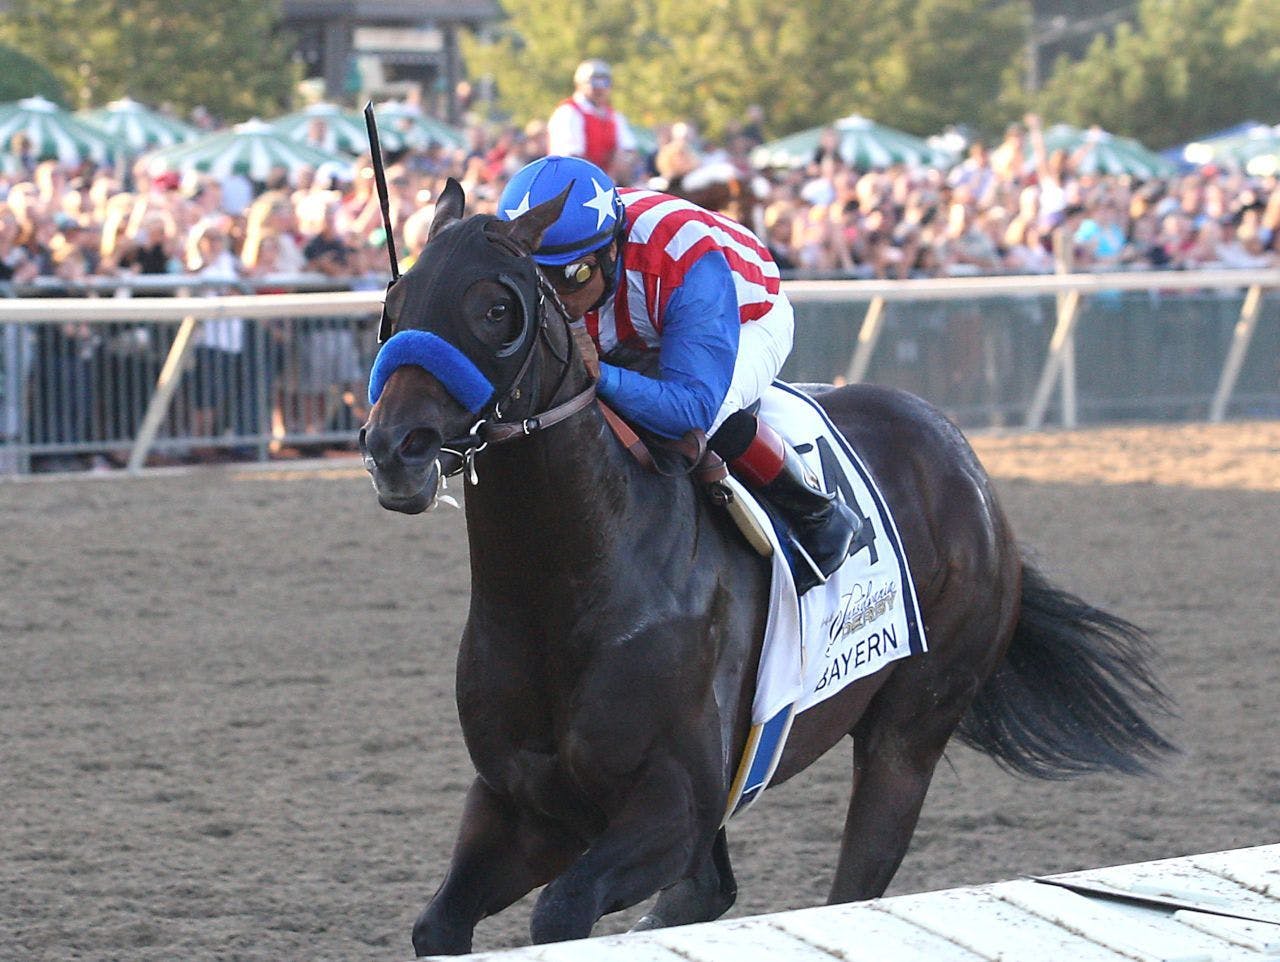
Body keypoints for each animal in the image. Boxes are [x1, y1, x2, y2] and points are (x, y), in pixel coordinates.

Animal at [358, 179, 1172, 956]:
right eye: (393, 306)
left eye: (498, 307)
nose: (394, 446)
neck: (562, 591)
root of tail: (962, 459)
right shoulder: (522, 801)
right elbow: (439, 926)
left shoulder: (673, 805)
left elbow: (560, 911)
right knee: (707, 894)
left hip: (911, 730)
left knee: (854, 879)